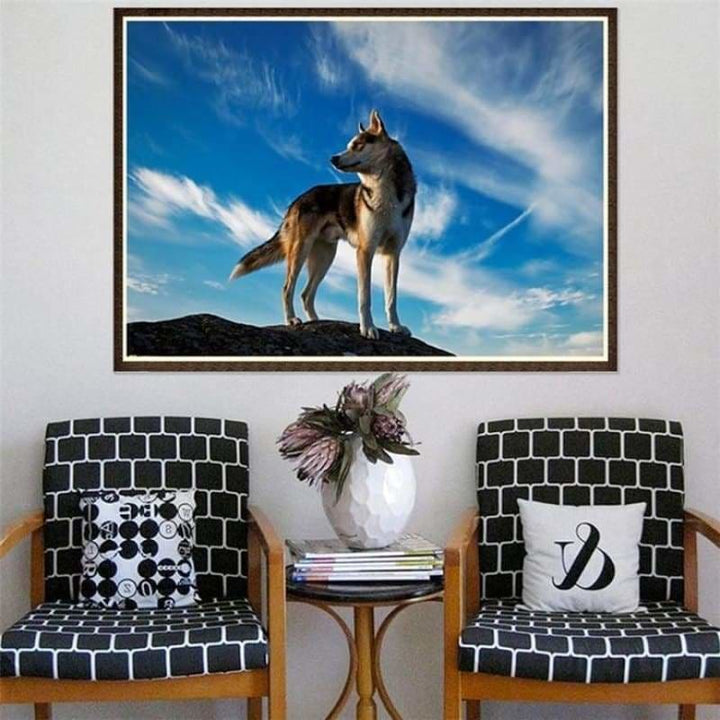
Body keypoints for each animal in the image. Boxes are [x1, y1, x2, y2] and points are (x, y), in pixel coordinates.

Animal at [228, 110, 416, 339]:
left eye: (357, 145)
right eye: (349, 144)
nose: (332, 158)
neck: (386, 194)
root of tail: (298, 199)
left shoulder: (393, 254)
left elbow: (391, 298)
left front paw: (396, 327)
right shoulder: (365, 251)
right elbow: (365, 297)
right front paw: (367, 328)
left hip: (325, 258)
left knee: (305, 294)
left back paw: (316, 321)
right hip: (300, 252)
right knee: (287, 289)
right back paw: (291, 320)